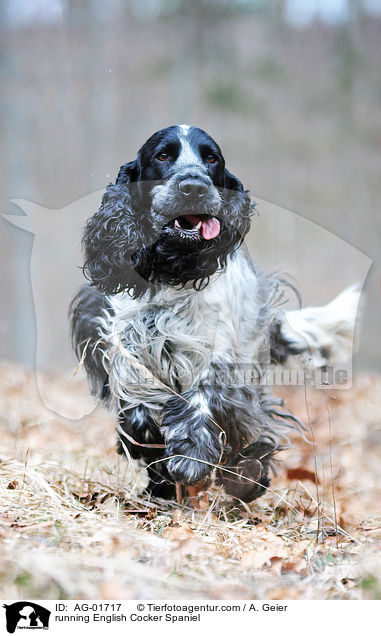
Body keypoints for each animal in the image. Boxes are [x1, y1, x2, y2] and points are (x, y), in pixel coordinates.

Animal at [70, 124, 358, 502]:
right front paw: (153, 449)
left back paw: (247, 475)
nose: (193, 186)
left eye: (211, 159)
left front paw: (191, 455)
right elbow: (139, 405)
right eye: (163, 155)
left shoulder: (217, 351)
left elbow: (206, 396)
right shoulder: (129, 341)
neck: (175, 268)